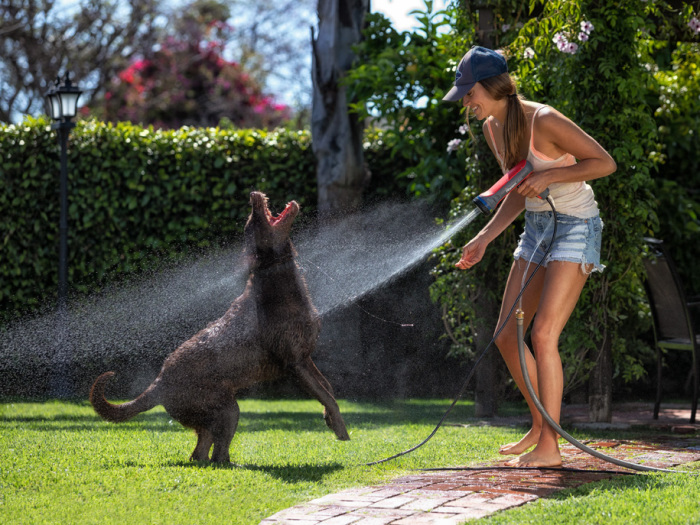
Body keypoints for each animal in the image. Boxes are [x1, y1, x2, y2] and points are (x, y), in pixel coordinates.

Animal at [89, 190, 348, 460]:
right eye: (252, 221)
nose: (253, 195)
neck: (276, 276)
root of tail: (157, 385)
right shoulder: (294, 362)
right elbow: (328, 397)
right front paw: (341, 430)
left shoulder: (306, 357)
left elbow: (328, 389)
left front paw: (329, 420)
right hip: (227, 408)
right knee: (218, 455)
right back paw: (236, 465)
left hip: (210, 415)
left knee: (201, 452)